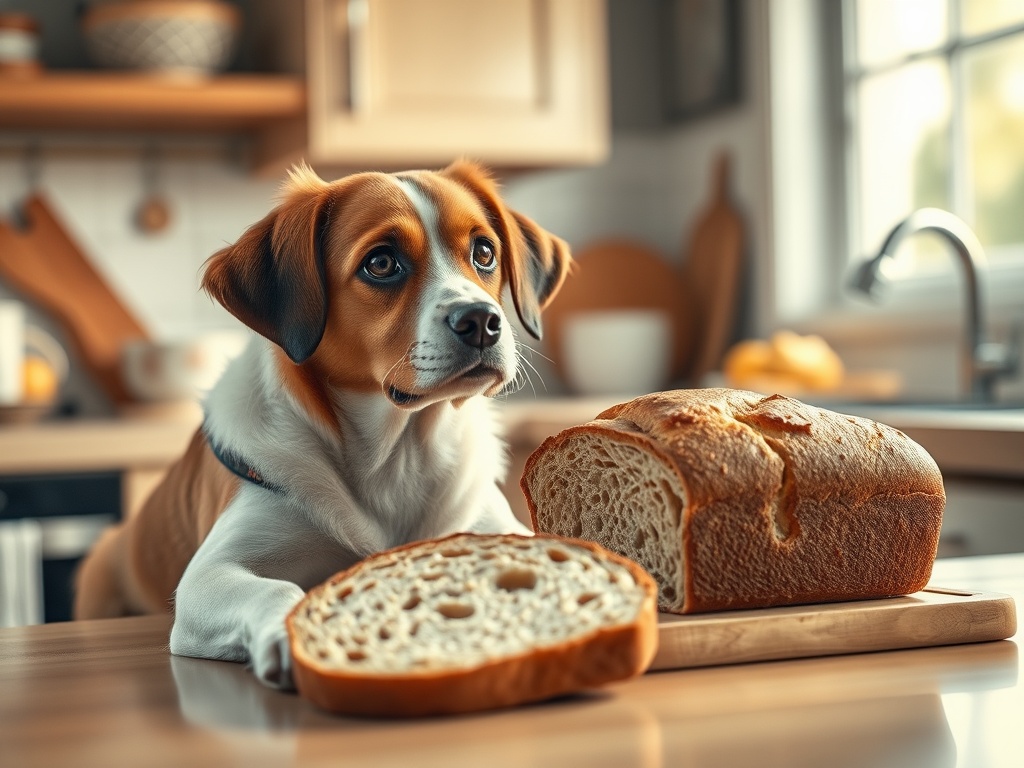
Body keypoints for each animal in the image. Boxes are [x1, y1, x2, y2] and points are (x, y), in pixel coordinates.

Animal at [75, 159, 573, 688]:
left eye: (484, 252)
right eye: (381, 263)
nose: (481, 321)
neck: (398, 455)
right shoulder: (208, 576)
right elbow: (274, 590)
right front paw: (286, 635)